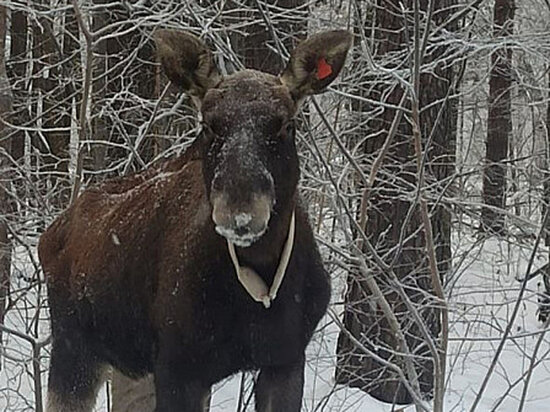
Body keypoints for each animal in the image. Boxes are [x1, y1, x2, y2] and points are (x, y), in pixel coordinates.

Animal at [38, 29, 352, 412]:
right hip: (74, 348)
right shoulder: (180, 367)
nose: (240, 211)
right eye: (209, 125)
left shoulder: (285, 359)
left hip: (131, 366)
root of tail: (51, 233)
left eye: (286, 124)